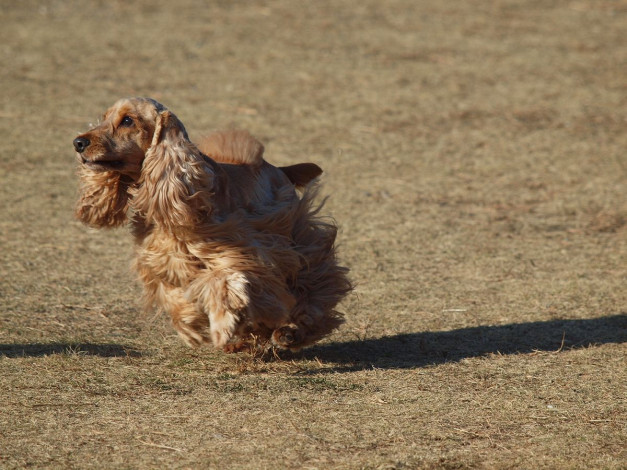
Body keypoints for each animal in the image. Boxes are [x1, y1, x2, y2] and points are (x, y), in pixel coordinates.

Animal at [73, 97, 354, 350]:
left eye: (127, 120)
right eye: (105, 117)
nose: (78, 142)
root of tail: (279, 169)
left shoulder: (240, 253)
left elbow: (224, 284)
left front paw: (222, 328)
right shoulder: (163, 262)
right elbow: (173, 295)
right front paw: (194, 327)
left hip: (297, 243)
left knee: (315, 286)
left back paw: (289, 332)